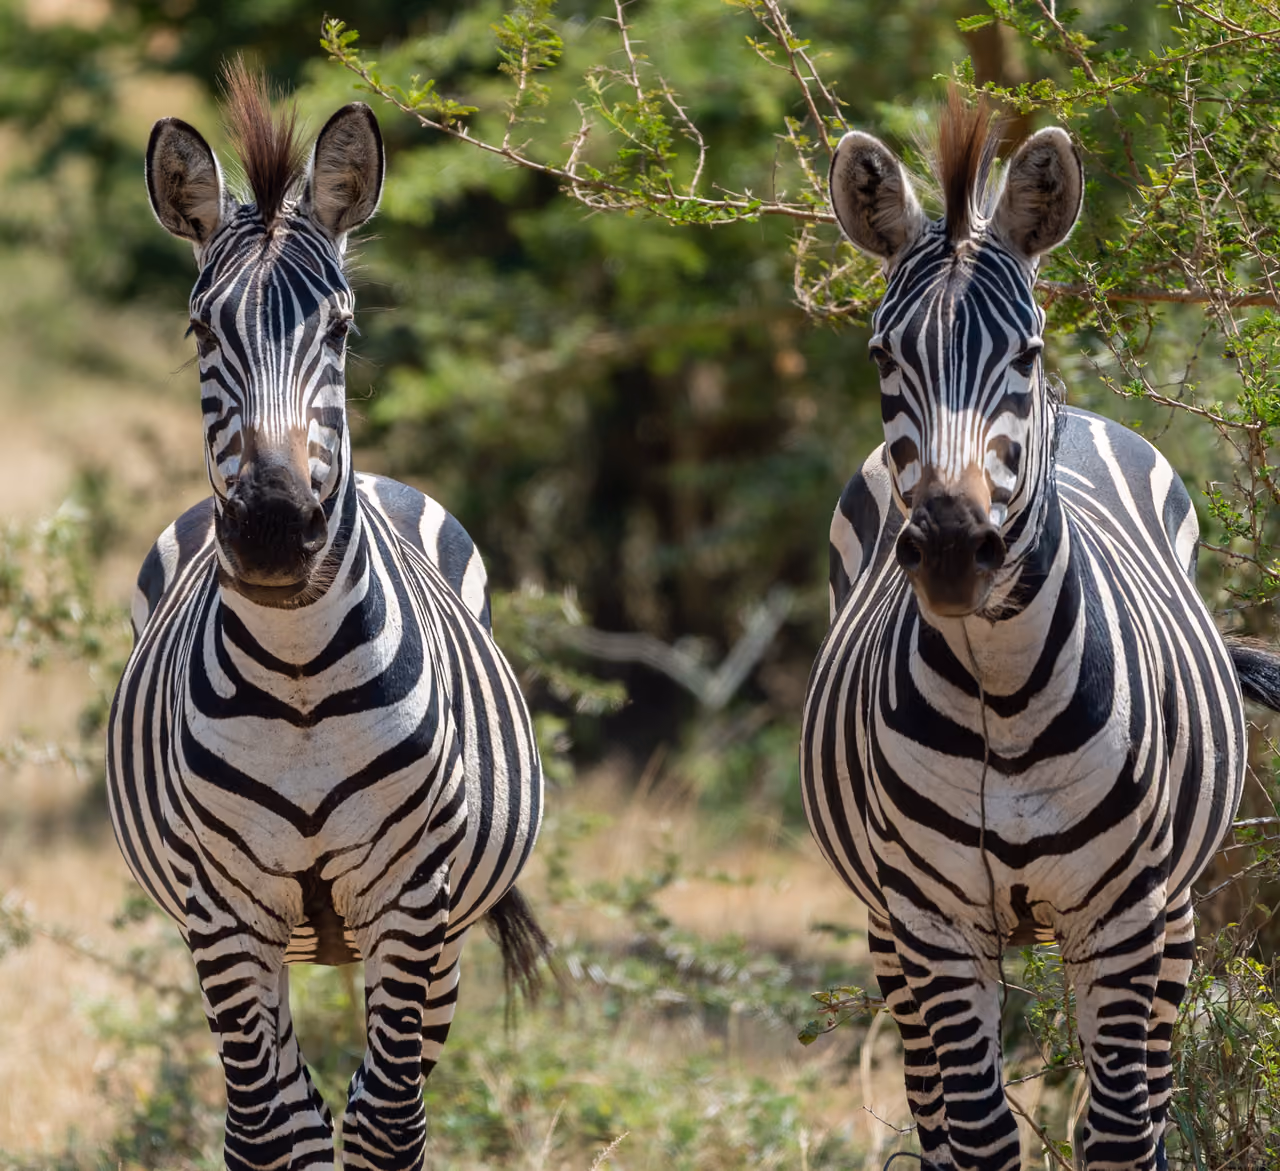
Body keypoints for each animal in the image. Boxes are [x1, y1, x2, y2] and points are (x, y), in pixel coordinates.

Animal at [107, 65, 547, 1171]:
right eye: (200, 332)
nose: (271, 530)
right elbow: (276, 1129)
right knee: (266, 1111)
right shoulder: (222, 912)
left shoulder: (413, 898)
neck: (301, 675)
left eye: (340, 328)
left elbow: (386, 1124)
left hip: (439, 936)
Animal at [800, 95, 1280, 1171]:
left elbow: (1117, 1131)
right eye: (882, 357)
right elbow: (977, 1136)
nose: (950, 548)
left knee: (1142, 1105)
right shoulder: (933, 922)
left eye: (1022, 353)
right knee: (936, 1114)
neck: (1004, 691)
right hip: (890, 928)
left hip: (1170, 914)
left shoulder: (1124, 916)